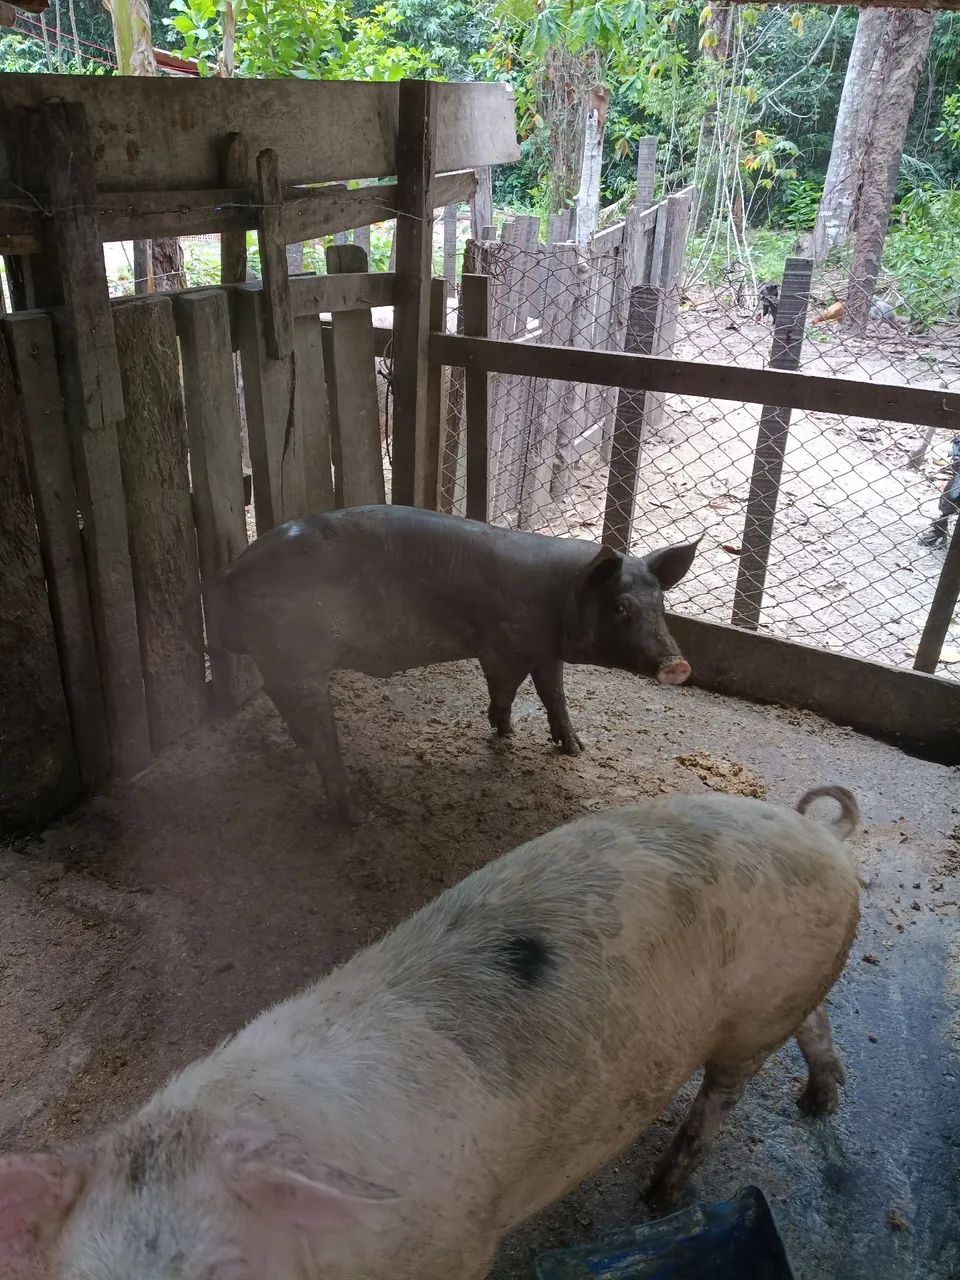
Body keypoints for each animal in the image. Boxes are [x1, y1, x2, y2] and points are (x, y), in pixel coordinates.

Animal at [0, 785, 861, 1280]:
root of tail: (822, 834)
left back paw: (660, 1194)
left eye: (224, 1272)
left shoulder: (455, 1246)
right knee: (815, 1025)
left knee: (725, 1091)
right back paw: (817, 1103)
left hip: (754, 1012)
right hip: (788, 993)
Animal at [206, 505, 700, 819]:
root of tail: (230, 571)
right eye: (619, 608)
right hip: (298, 658)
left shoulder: (544, 650)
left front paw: (575, 749)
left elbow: (554, 695)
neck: (560, 594)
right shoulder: (504, 646)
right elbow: (505, 688)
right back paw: (360, 813)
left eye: (659, 602)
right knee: (318, 730)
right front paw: (503, 731)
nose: (679, 666)